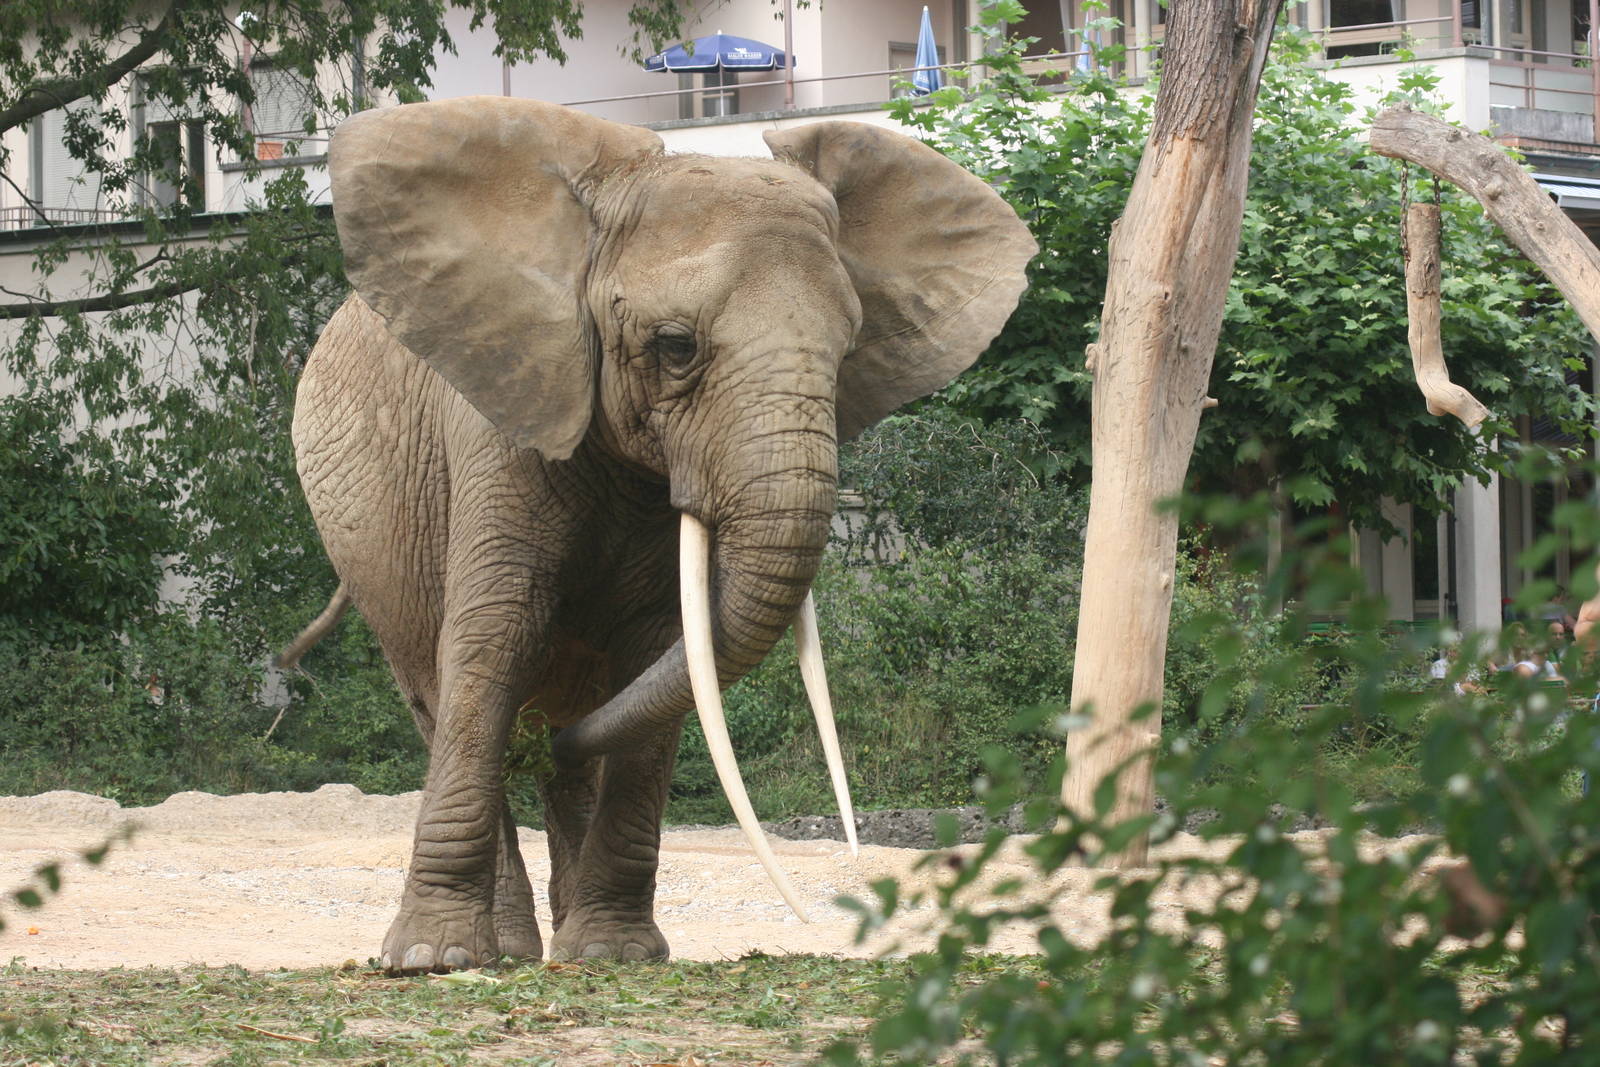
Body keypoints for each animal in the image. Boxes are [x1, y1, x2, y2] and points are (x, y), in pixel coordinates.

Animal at [290, 95, 1035, 972]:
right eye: (675, 347)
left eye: (848, 349)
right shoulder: (501, 413)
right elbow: (494, 638)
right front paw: (430, 958)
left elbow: (662, 650)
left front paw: (615, 954)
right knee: (444, 698)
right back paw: (498, 945)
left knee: (580, 714)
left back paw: (562, 913)